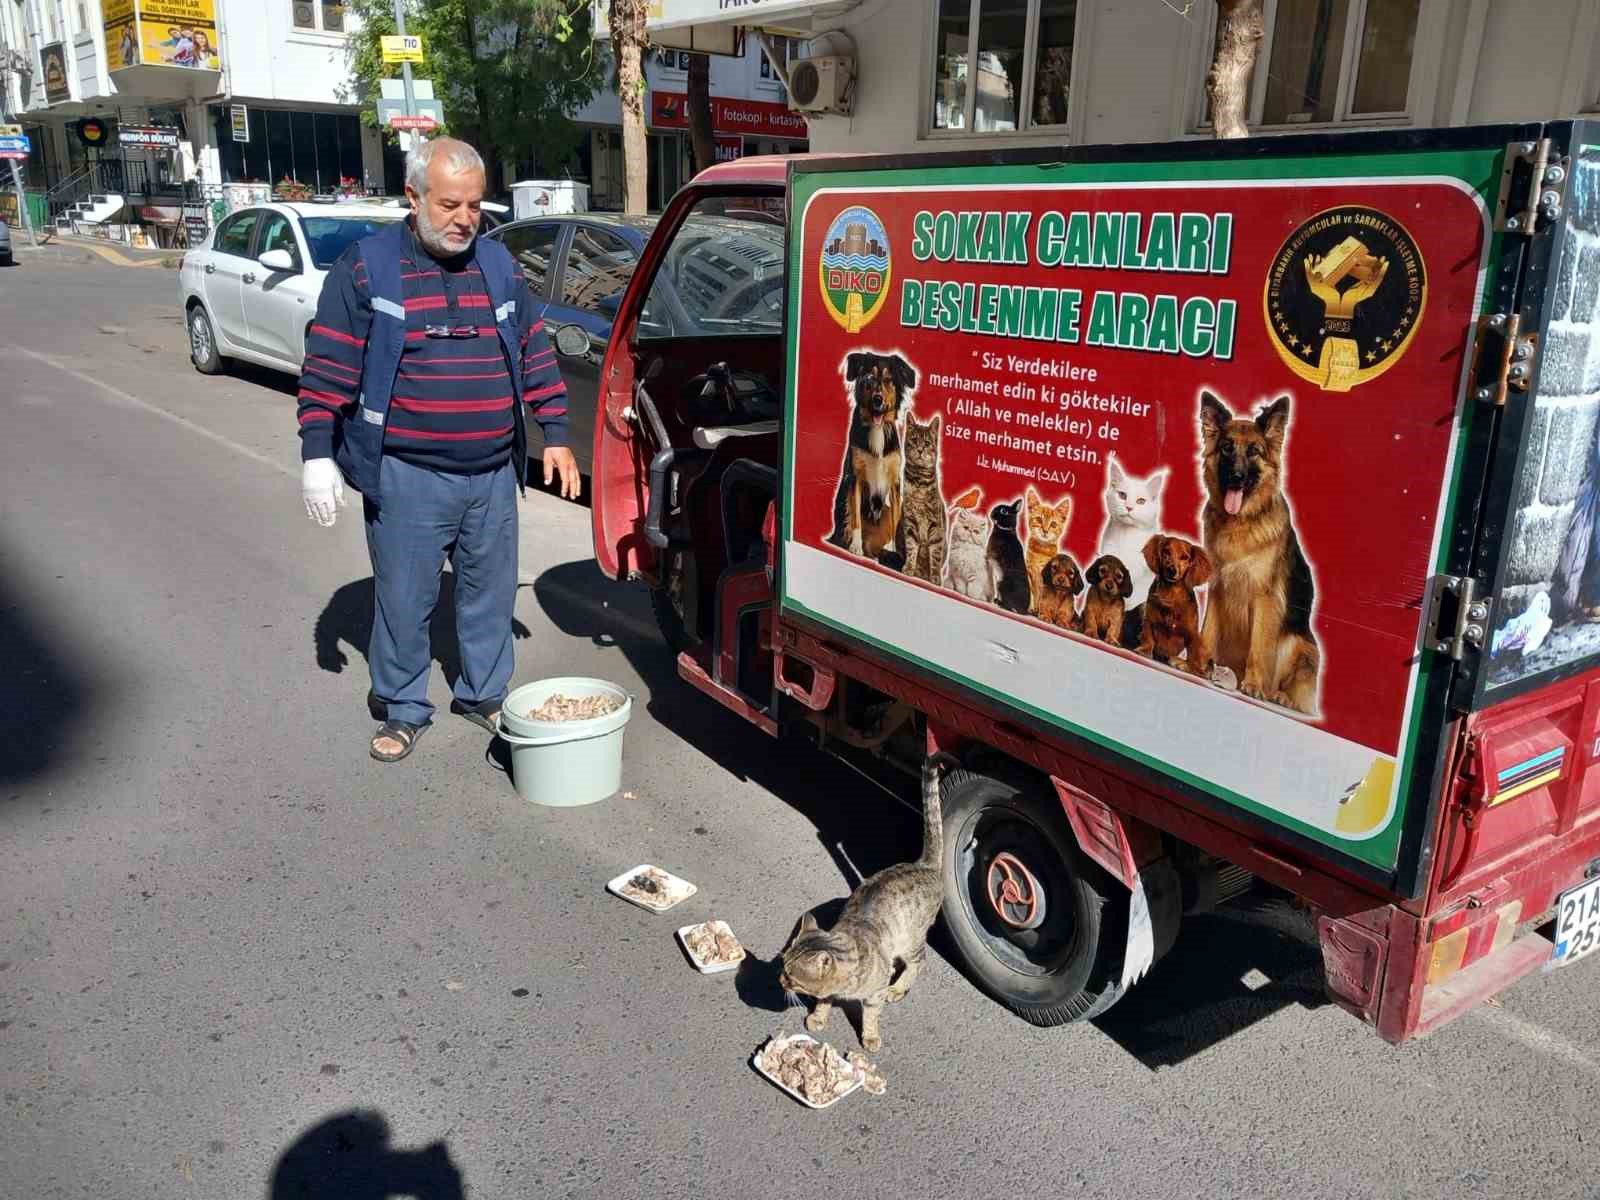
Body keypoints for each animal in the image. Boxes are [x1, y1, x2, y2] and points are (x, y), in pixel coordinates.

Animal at [784, 755, 953, 1056]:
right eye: (782, 966)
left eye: (792, 977)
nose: (780, 981)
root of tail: (924, 864)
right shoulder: (830, 990)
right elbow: (824, 1000)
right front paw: (818, 1017)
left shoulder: (874, 993)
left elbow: (872, 1014)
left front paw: (871, 1036)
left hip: (910, 941)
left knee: (920, 961)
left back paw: (898, 988)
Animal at [902, 419, 947, 588]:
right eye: (914, 440)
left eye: (927, 443)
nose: (920, 450)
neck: (919, 483)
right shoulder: (910, 521)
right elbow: (911, 547)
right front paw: (909, 568)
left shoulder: (936, 525)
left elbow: (935, 555)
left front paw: (935, 577)